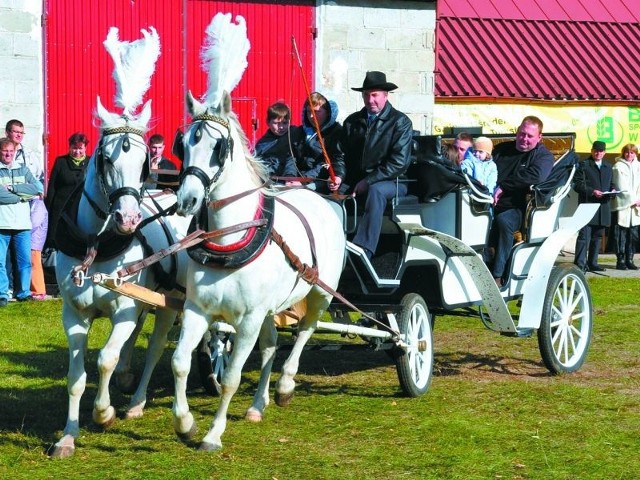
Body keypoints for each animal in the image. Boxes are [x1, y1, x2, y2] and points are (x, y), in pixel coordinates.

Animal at [51, 25, 191, 458]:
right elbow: (76, 374)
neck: (96, 248)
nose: (129, 219)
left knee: (155, 346)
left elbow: (106, 360)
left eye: (145, 160)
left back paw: (136, 401)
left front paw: (104, 413)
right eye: (107, 158)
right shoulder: (74, 313)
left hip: (168, 301)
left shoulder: (125, 308)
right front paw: (67, 435)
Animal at [171, 13, 344, 452]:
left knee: (303, 333)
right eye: (184, 144)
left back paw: (283, 387)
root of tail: (319, 196)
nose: (187, 200)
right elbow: (180, 362)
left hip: (320, 293)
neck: (229, 237)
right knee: (269, 348)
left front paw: (212, 433)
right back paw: (257, 404)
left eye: (218, 147)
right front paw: (185, 423)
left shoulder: (247, 319)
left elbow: (232, 375)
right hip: (269, 308)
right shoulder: (199, 309)